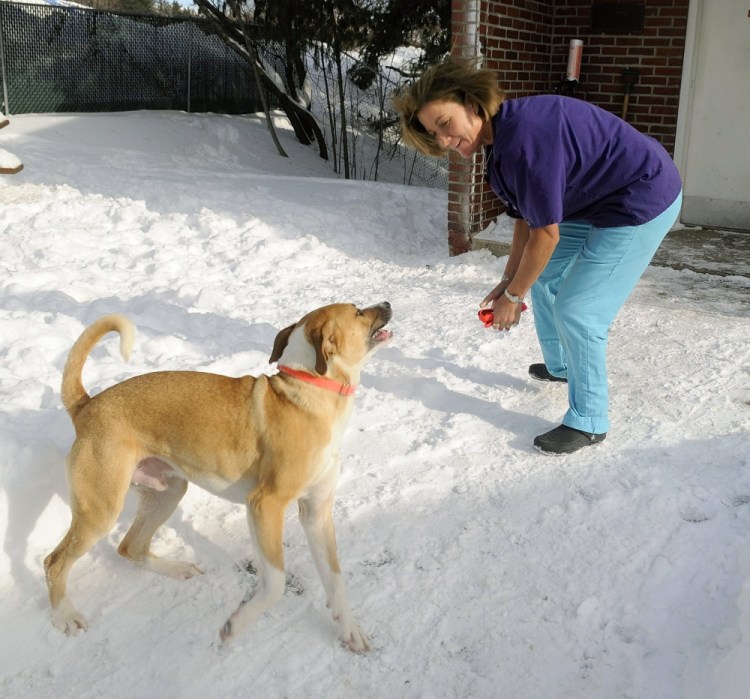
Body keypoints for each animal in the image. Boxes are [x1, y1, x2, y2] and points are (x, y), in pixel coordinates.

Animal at [43, 304, 394, 652]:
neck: (310, 387)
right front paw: (235, 625)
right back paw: (65, 616)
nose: (387, 305)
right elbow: (276, 583)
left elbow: (335, 580)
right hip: (102, 509)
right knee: (54, 562)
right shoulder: (265, 506)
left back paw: (176, 568)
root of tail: (87, 405)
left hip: (168, 492)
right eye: (358, 311)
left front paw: (350, 631)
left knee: (130, 547)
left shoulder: (316, 512)